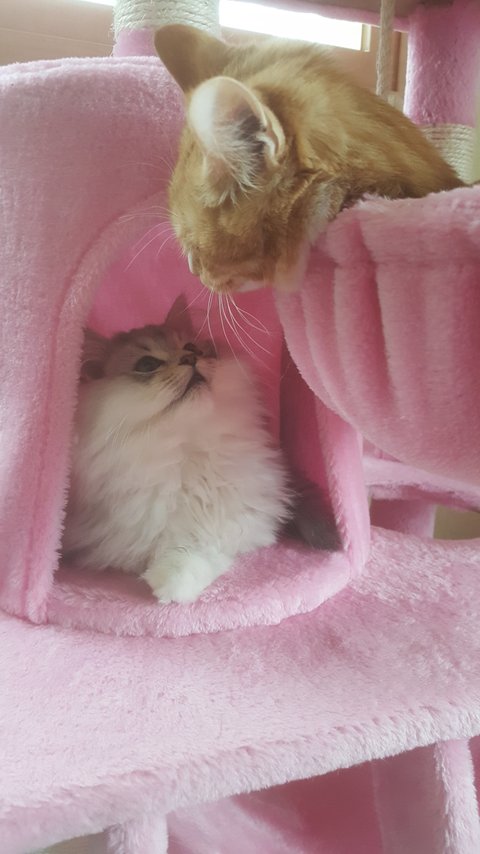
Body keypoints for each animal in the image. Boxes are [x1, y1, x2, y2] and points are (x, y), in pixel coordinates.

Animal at [62, 301, 291, 603]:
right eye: (147, 365)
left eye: (192, 348)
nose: (190, 359)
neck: (187, 446)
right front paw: (169, 582)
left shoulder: (246, 522)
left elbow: (206, 546)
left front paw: (174, 582)